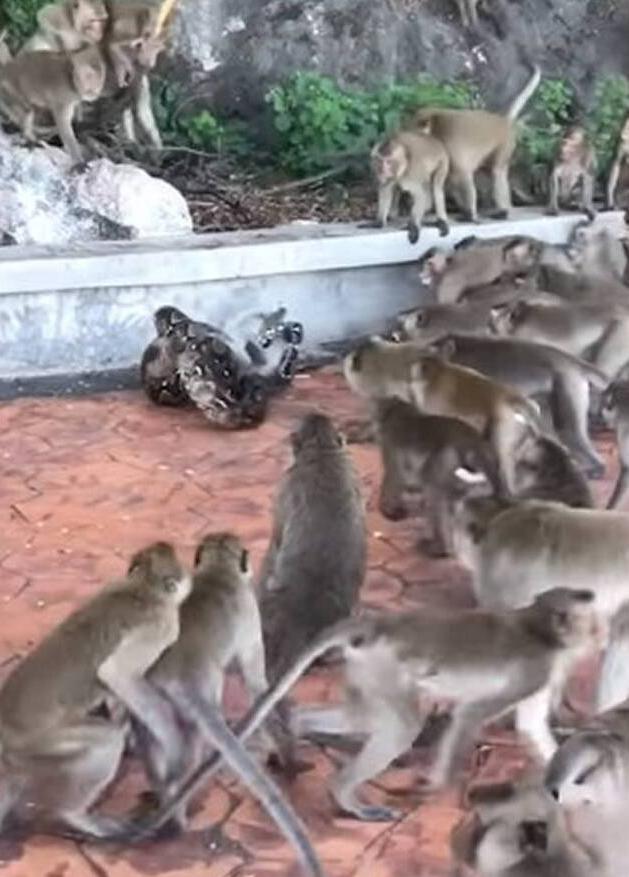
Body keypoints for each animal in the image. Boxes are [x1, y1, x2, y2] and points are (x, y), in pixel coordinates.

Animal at [0, 541, 191, 838]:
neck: (141, 586)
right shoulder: (163, 625)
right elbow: (117, 674)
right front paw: (174, 742)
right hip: (40, 741)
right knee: (107, 741)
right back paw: (73, 814)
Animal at [129, 533, 323, 877]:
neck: (218, 572)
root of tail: (177, 673)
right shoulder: (250, 612)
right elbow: (258, 687)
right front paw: (289, 759)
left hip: (149, 698)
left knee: (152, 736)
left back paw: (162, 798)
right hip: (199, 695)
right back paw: (177, 818)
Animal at [135, 587, 599, 830]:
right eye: (592, 624)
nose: (601, 634)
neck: (539, 627)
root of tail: (377, 624)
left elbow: (531, 725)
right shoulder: (536, 667)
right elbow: (471, 714)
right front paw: (437, 784)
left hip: (365, 669)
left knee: (366, 717)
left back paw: (292, 730)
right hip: (384, 667)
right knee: (404, 724)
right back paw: (345, 795)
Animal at [410, 66, 541, 223]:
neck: (436, 126)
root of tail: (502, 121)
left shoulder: (449, 142)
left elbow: (462, 175)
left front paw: (470, 214)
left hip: (505, 143)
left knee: (497, 172)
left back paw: (503, 210)